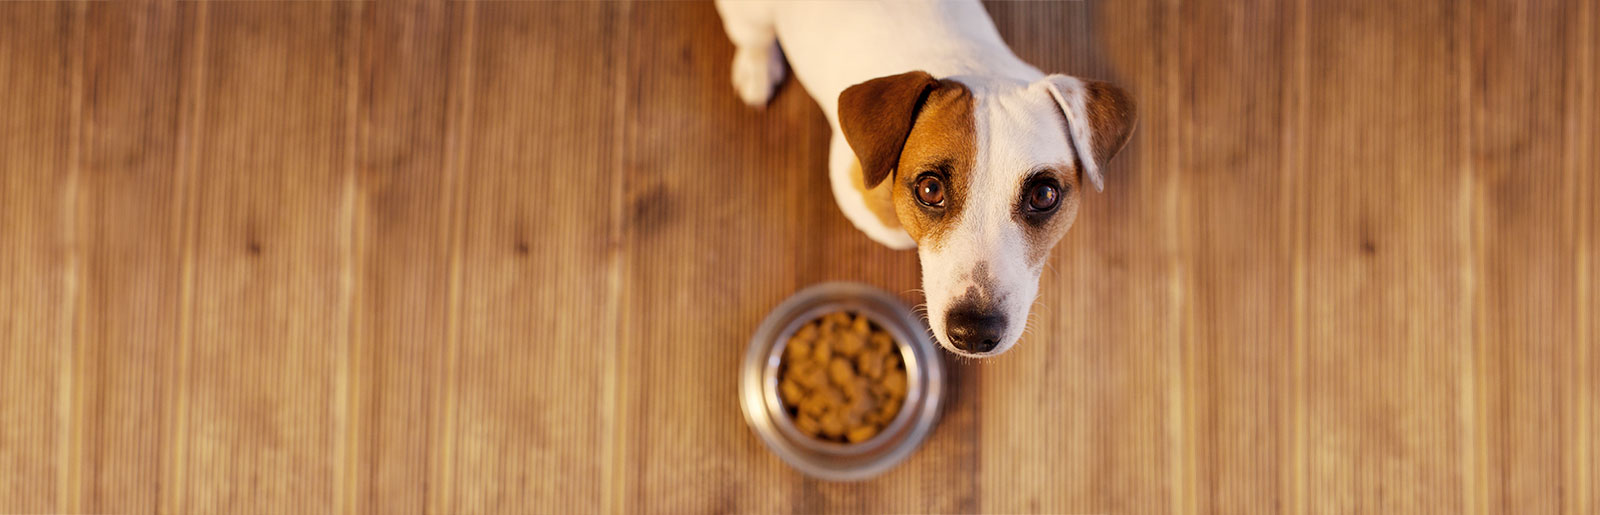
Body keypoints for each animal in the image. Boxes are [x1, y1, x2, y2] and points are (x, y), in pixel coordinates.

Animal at [720, 0, 1132, 356]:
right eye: (930, 189)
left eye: (1044, 195)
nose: (973, 333)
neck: (975, 68)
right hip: (749, 14)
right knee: (754, 36)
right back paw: (756, 69)